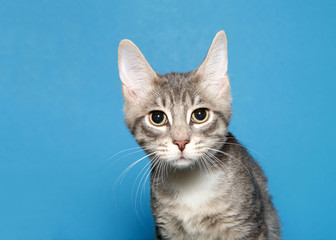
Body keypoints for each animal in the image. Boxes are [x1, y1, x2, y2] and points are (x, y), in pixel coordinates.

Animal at [117, 31, 280, 239]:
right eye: (157, 118)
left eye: (200, 115)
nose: (181, 141)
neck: (191, 186)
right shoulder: (166, 230)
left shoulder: (248, 226)